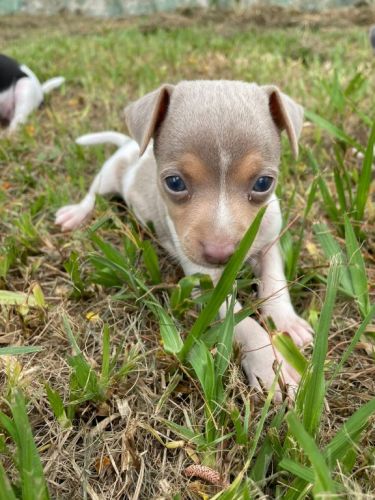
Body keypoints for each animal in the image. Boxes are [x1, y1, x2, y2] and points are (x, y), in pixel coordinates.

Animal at [56, 82, 314, 402]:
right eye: (175, 183)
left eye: (263, 183)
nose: (221, 253)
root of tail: (129, 144)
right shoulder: (206, 282)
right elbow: (242, 320)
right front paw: (272, 365)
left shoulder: (269, 242)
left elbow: (275, 280)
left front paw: (287, 322)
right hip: (108, 176)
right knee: (92, 194)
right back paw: (76, 213)